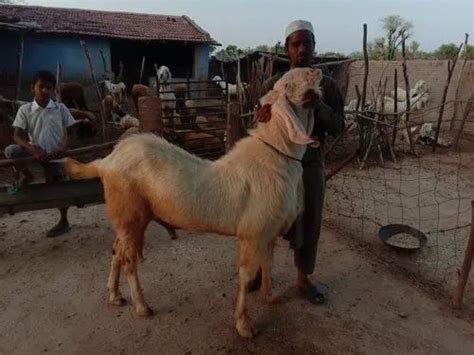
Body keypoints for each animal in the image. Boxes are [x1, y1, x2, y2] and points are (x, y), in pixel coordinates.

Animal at [65, 67, 322, 340]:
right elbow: (246, 276)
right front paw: (243, 325)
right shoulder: (252, 234)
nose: (316, 70)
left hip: (126, 218)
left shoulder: (268, 233)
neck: (276, 155)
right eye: (289, 84)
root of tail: (106, 161)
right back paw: (142, 306)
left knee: (117, 251)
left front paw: (269, 297)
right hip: (130, 215)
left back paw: (115, 295)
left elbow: (268, 265)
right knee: (129, 261)